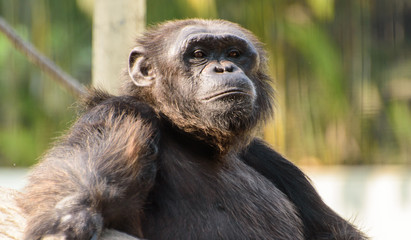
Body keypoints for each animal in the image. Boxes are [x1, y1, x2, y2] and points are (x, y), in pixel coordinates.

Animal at [16, 19, 366, 240]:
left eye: (234, 53)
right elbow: (84, 169)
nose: (225, 67)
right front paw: (68, 219)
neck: (190, 135)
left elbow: (334, 231)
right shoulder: (120, 114)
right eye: (198, 54)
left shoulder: (273, 160)